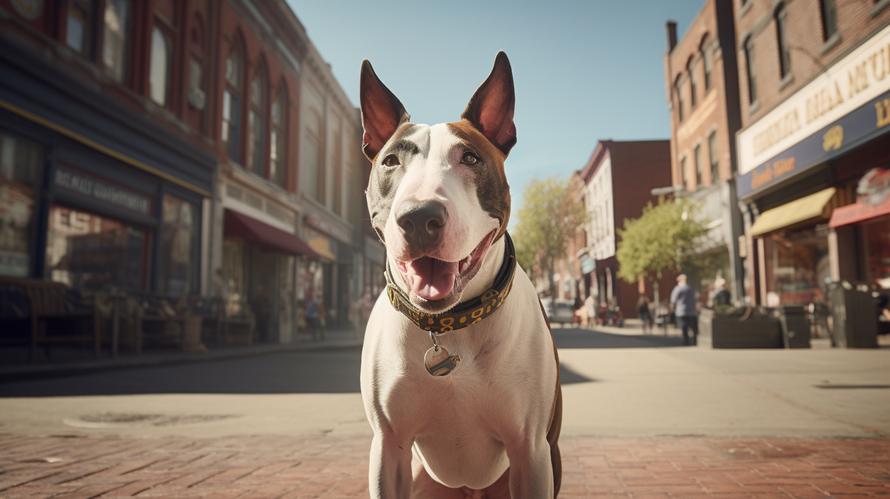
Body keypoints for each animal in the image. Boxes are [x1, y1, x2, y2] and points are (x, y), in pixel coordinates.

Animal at [356, 51, 560, 499]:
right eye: (391, 160)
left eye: (470, 158)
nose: (419, 217)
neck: (448, 327)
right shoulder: (388, 448)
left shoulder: (530, 451)